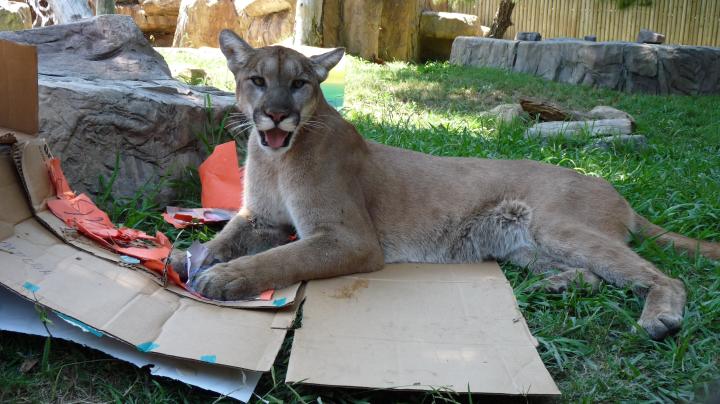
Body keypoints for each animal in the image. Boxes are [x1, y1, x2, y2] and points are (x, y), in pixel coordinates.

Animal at [170, 29, 719, 341]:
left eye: (300, 83)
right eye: (258, 81)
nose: (277, 115)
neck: (278, 159)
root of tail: (611, 186)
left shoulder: (348, 239)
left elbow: (279, 258)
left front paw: (223, 278)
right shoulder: (259, 217)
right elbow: (224, 237)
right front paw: (189, 257)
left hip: (559, 227)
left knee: (665, 277)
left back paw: (659, 318)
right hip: (522, 243)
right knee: (592, 276)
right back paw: (558, 284)